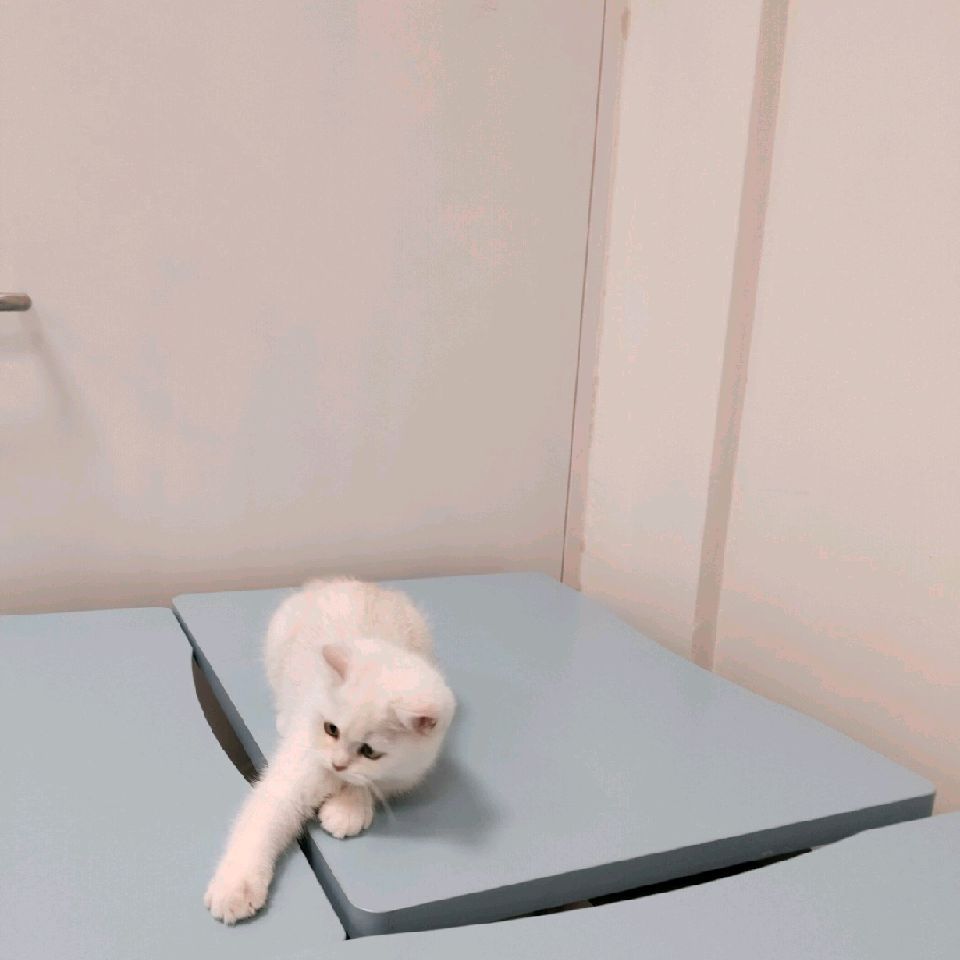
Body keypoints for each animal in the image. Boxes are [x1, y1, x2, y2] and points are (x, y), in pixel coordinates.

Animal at [204, 577, 456, 924]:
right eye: (331, 729)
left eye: (369, 751)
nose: (336, 764)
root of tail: (351, 581)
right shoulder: (294, 770)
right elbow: (263, 820)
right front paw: (235, 887)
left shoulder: (410, 773)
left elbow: (372, 784)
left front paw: (348, 807)